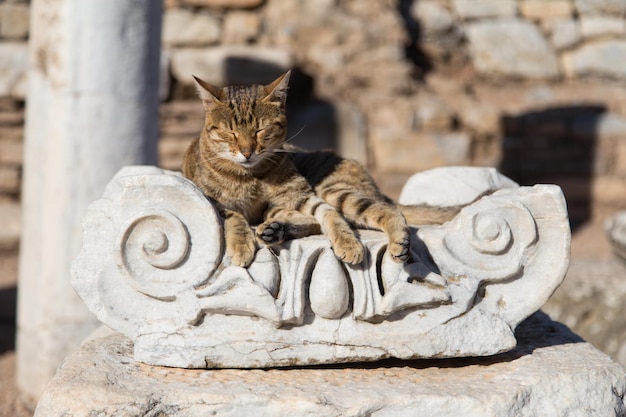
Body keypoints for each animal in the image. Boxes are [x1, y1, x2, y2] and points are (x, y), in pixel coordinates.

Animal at [183, 71, 456, 266]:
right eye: (230, 132)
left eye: (260, 130)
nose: (247, 151)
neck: (251, 175)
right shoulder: (218, 204)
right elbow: (235, 217)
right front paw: (241, 244)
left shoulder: (303, 196)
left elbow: (330, 215)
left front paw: (348, 244)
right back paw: (274, 230)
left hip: (333, 191)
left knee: (387, 211)